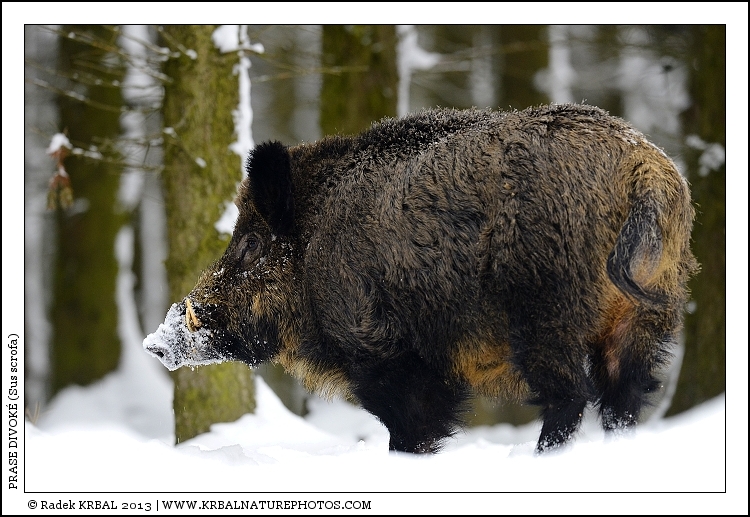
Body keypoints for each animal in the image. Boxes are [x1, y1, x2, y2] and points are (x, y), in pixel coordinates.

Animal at [144, 103, 698, 454]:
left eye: (251, 244)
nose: (155, 343)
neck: (314, 245)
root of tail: (644, 169)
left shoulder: (386, 351)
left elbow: (411, 429)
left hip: (547, 313)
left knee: (570, 396)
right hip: (646, 315)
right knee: (624, 397)